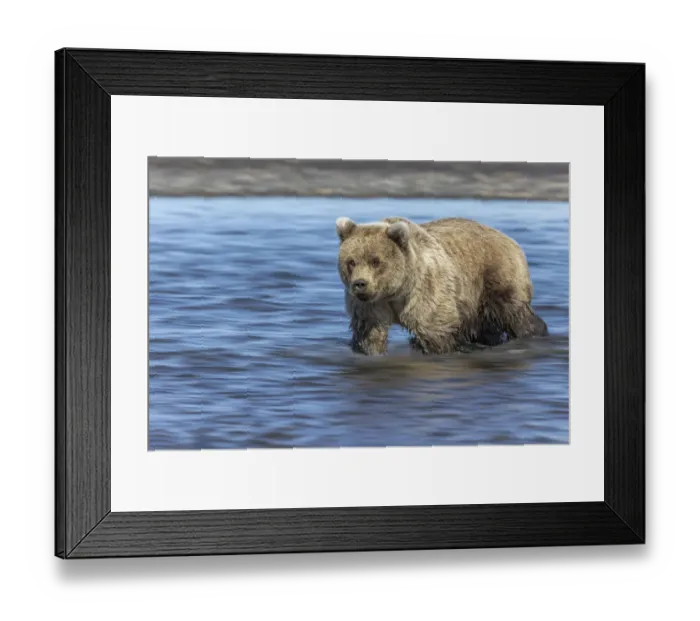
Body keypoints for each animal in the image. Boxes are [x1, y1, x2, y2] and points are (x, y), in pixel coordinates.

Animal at [335, 216, 548, 355]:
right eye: (351, 261)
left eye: (375, 261)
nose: (360, 283)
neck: (395, 292)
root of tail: (509, 239)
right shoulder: (369, 306)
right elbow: (369, 334)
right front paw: (368, 351)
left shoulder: (425, 292)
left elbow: (435, 331)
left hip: (494, 278)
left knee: (515, 314)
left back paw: (534, 333)